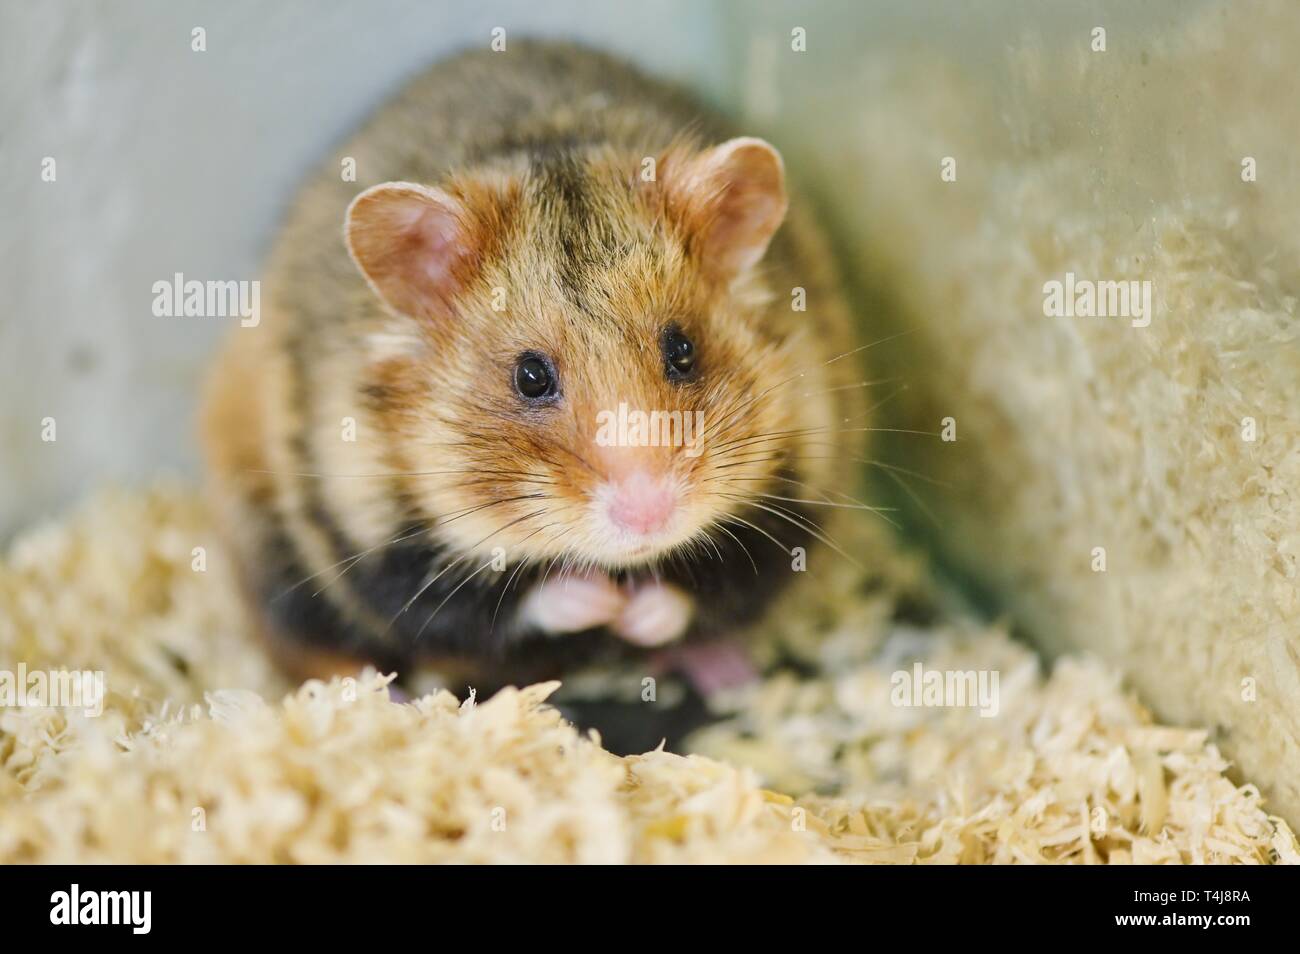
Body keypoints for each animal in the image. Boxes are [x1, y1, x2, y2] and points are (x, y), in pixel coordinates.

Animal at [201, 41, 867, 693]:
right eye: (530, 377)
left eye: (683, 351)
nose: (649, 517)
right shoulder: (375, 537)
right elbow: (508, 605)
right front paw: (602, 604)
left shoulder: (799, 489)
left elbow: (710, 589)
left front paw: (635, 612)